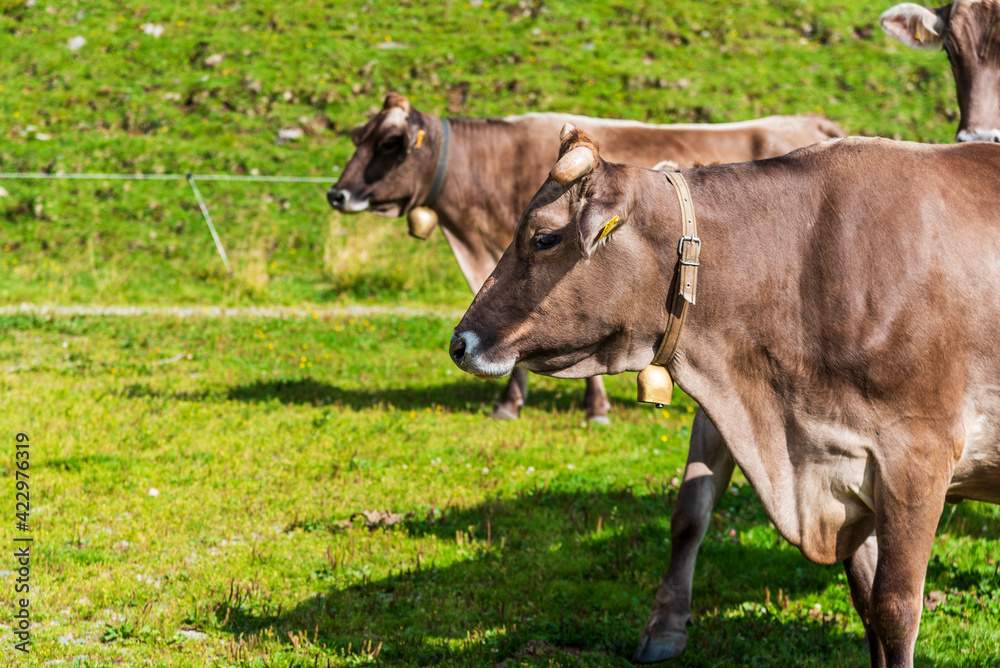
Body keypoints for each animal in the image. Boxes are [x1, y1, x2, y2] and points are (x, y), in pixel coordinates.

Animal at [450, 126, 1000, 668]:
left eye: (543, 237)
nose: (460, 342)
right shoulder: (841, 466)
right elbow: (864, 604)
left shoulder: (917, 459)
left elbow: (893, 609)